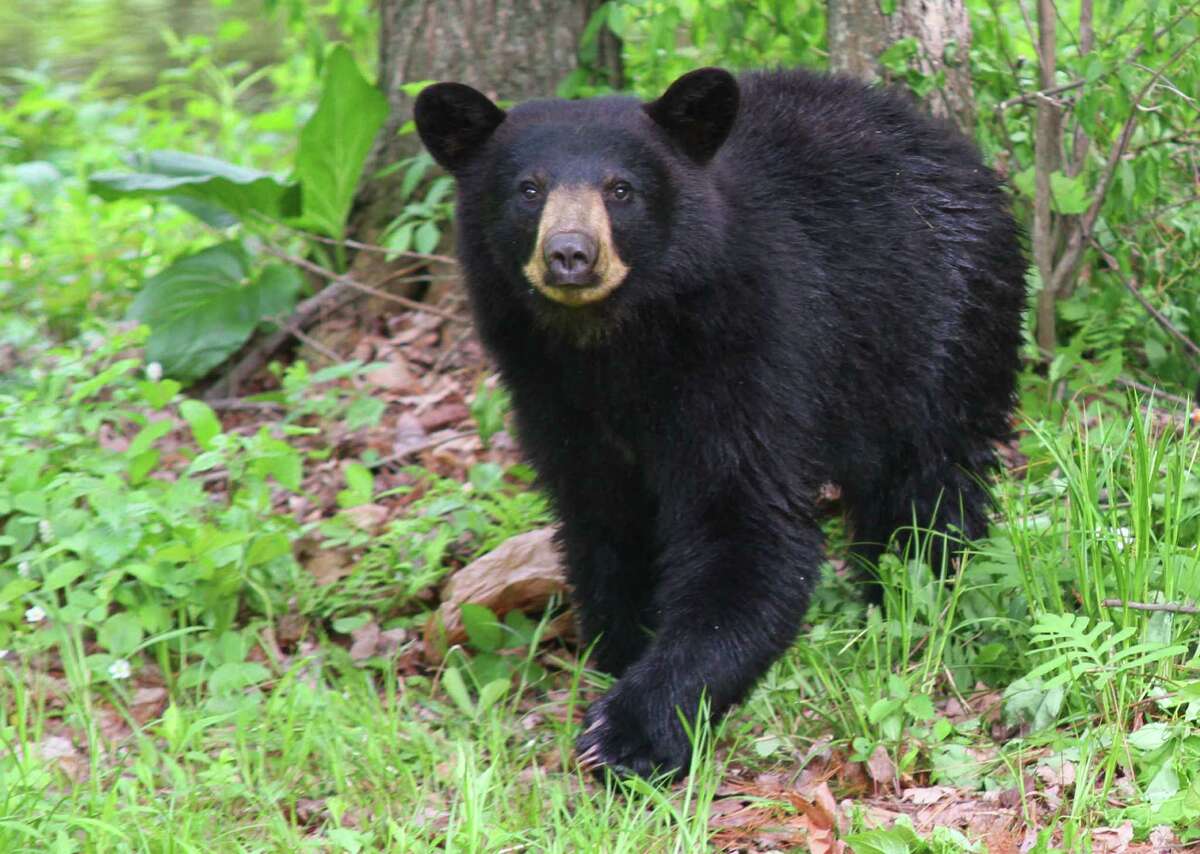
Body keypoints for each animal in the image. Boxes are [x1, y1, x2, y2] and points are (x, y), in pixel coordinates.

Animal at [412, 65, 1022, 772]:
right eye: (528, 189)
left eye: (622, 189)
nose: (570, 254)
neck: (613, 346)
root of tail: (951, 144)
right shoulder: (550, 393)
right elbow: (602, 520)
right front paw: (619, 647)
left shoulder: (749, 350)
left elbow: (746, 529)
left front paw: (631, 730)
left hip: (940, 326)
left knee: (927, 484)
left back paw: (915, 589)